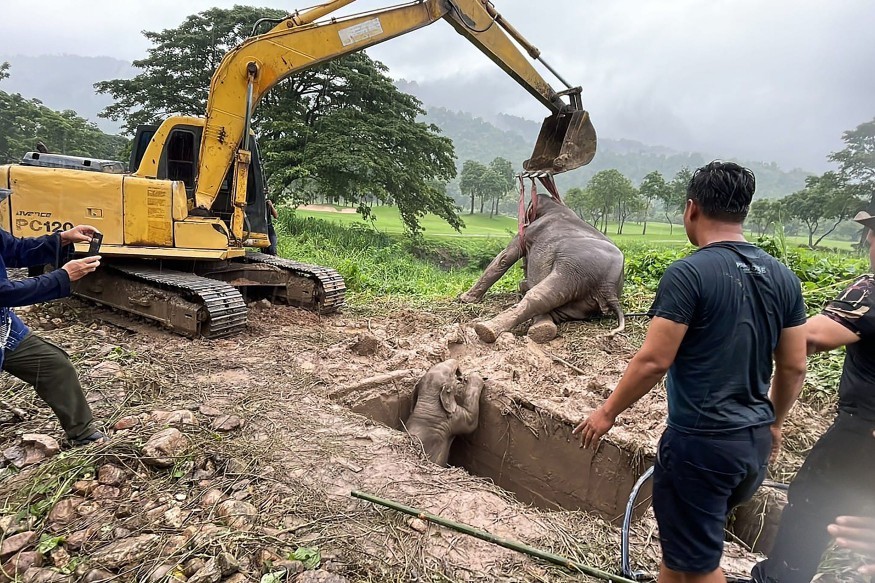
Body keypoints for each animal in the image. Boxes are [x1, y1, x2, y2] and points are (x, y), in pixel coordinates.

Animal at [458, 194, 624, 344]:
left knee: (541, 295)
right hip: (583, 302)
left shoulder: (528, 232)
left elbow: (504, 258)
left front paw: (465, 299)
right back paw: (542, 328)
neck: (555, 205)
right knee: (553, 306)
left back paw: (487, 329)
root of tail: (610, 289)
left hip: (577, 267)